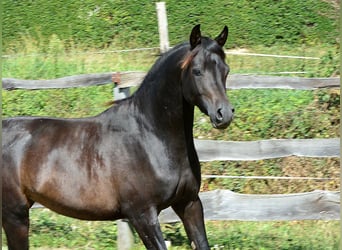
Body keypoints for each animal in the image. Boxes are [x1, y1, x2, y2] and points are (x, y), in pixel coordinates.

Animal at [2, 23, 232, 250]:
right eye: (197, 71)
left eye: (226, 70)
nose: (224, 114)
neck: (150, 138)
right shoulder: (142, 214)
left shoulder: (189, 203)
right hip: (15, 215)